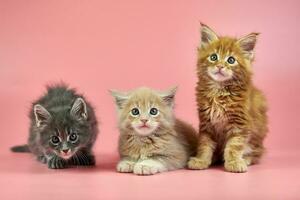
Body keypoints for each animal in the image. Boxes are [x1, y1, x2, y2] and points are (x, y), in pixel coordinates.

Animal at [189, 23, 268, 173]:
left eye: (231, 60)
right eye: (213, 57)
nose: (220, 66)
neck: (219, 91)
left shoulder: (240, 123)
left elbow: (234, 146)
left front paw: (234, 162)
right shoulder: (206, 123)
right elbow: (204, 144)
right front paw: (201, 160)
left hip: (257, 139)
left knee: (257, 154)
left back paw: (246, 159)